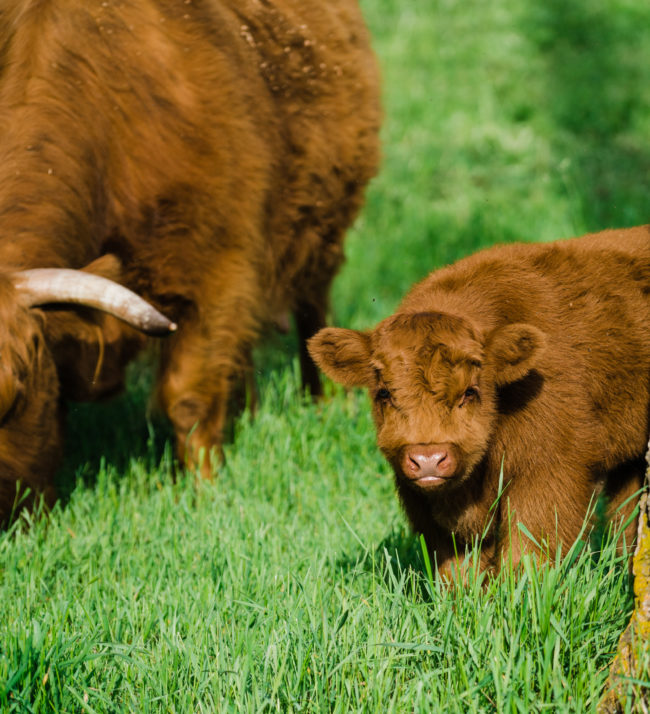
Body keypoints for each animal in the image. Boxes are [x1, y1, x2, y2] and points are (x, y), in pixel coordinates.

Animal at [0, 0, 380, 524]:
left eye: (12, 397)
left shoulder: (214, 270)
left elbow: (188, 396)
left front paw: (202, 494)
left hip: (320, 231)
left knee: (311, 312)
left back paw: (322, 403)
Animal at [308, 228, 648, 580]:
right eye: (384, 394)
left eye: (470, 391)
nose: (428, 459)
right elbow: (457, 568)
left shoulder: (550, 474)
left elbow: (528, 556)